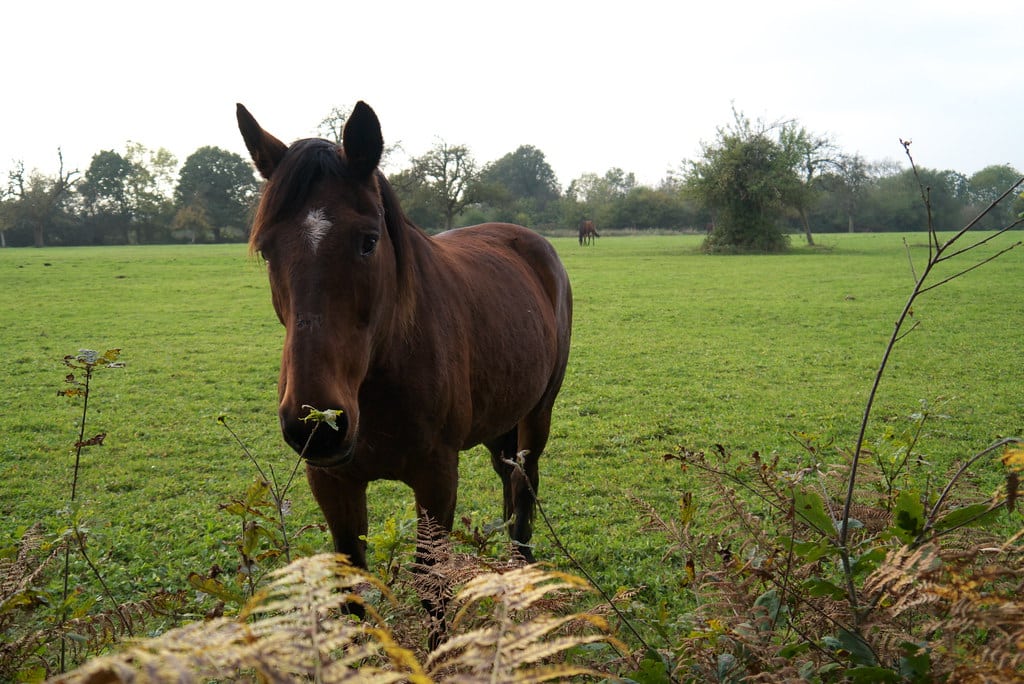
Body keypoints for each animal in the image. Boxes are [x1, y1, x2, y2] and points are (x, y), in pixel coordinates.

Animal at [236, 101, 573, 631]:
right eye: (268, 248)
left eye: (368, 241)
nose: (318, 424)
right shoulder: (332, 482)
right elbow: (350, 589)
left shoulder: (437, 477)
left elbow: (433, 585)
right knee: (510, 482)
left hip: (537, 415)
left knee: (524, 487)